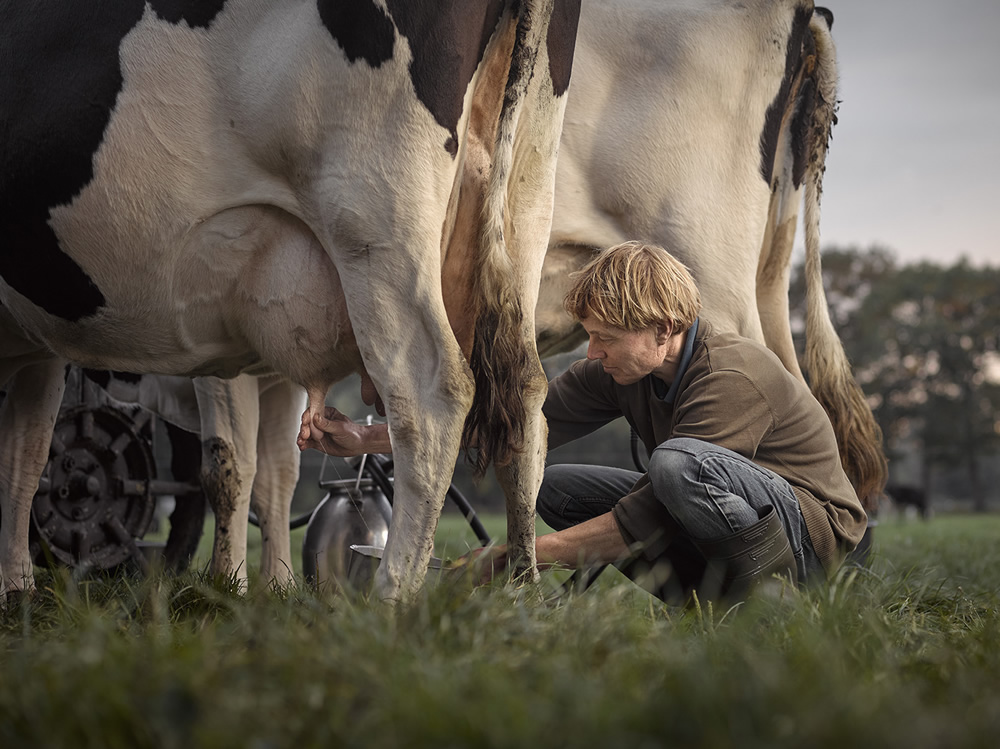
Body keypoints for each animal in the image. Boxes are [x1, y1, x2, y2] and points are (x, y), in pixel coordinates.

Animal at [0, 0, 584, 600]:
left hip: (374, 221)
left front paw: (227, 587)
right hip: (522, 204)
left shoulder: (213, 340)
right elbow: (29, 450)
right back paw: (523, 587)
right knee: (526, 398)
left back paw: (392, 595)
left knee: (432, 397)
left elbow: (228, 465)